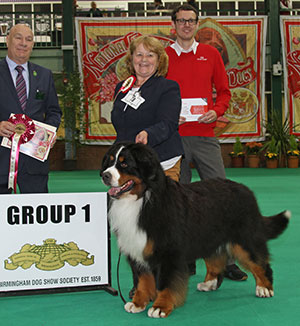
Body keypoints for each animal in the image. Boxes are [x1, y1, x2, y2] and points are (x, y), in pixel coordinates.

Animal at [101, 141, 290, 318]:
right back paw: (209, 283)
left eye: (125, 164)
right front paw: (138, 303)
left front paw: (160, 307)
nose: (104, 175)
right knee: (216, 259)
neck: (142, 199)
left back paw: (264, 288)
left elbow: (164, 283)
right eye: (110, 161)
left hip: (244, 239)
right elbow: (143, 281)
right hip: (210, 236)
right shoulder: (137, 248)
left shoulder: (168, 252)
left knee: (259, 262)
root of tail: (246, 190)